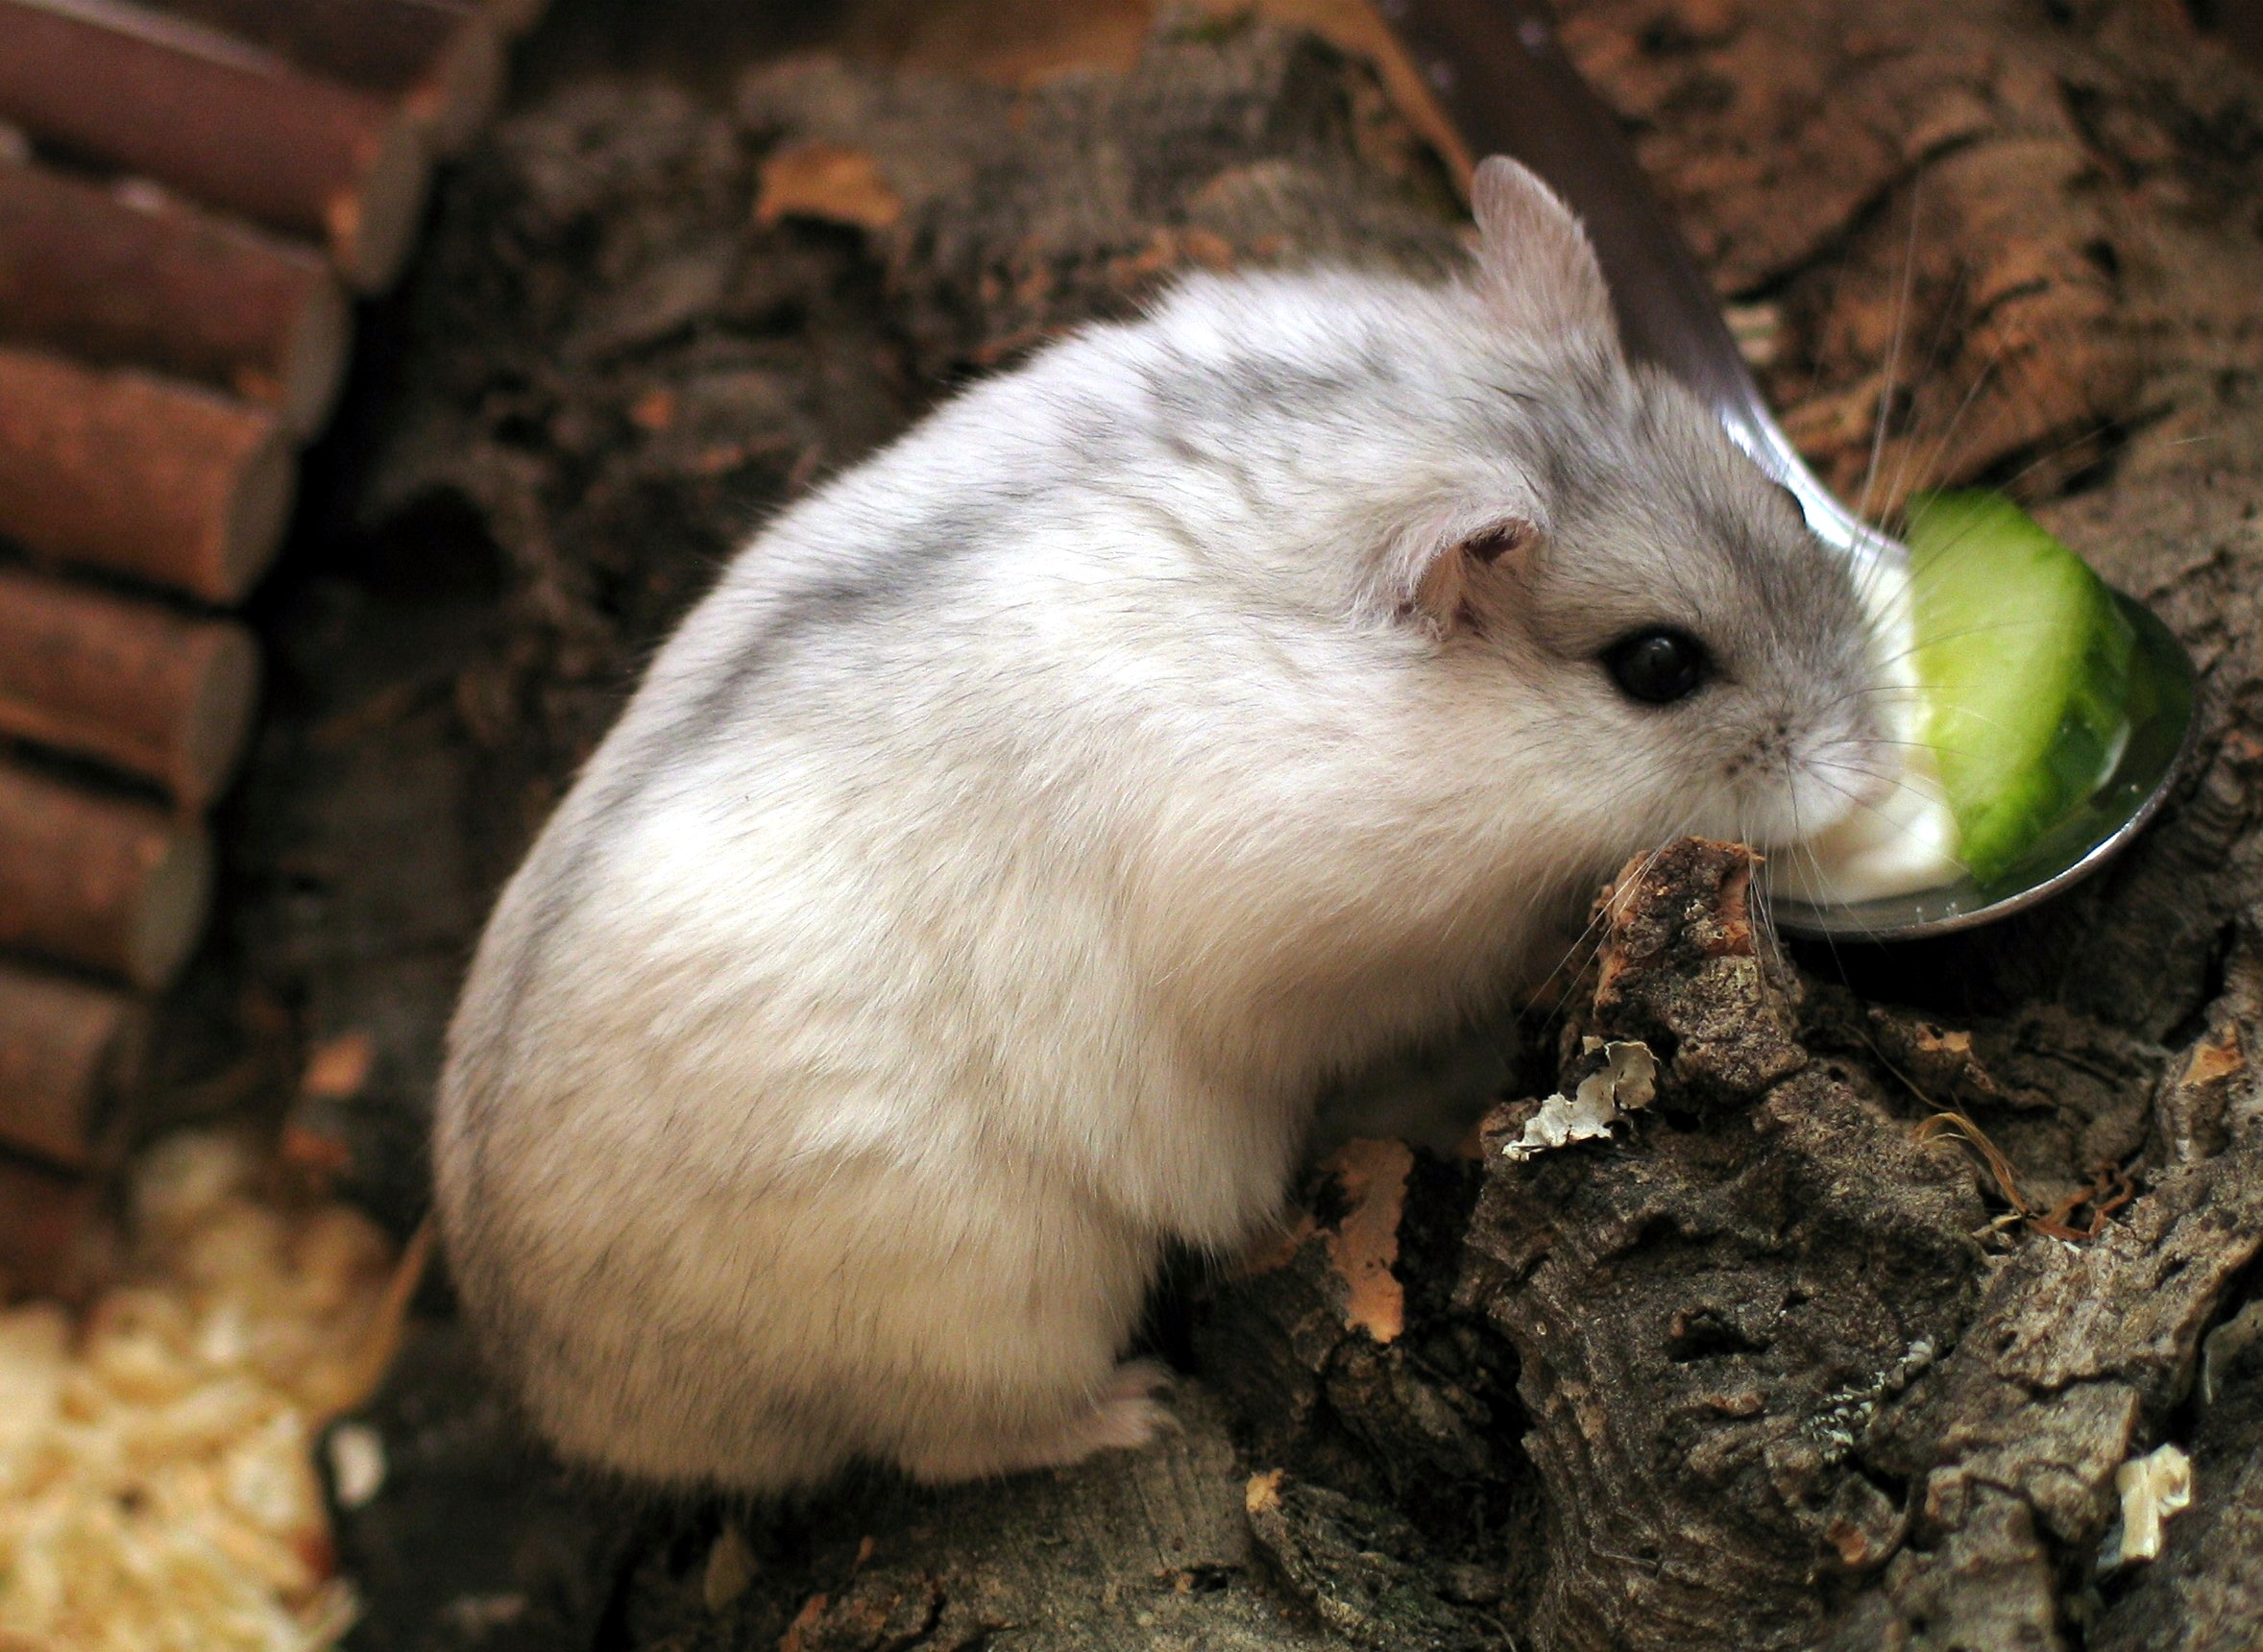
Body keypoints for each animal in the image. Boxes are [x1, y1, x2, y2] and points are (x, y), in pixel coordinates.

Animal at [431, 157, 1883, 1494]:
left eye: (1787, 505)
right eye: (1657, 666)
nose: (1871, 768)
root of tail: (554, 1390)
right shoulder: (1336, 951)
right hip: (986, 1307)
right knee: (951, 1443)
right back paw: (1136, 1411)